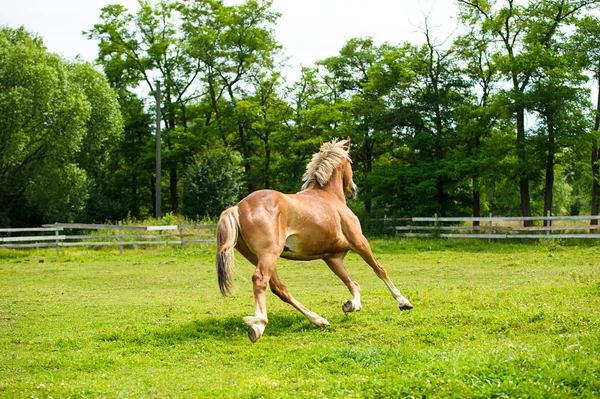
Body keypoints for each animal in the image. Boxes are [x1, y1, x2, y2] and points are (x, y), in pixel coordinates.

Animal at [216, 138, 412, 344]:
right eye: (350, 162)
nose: (353, 189)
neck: (331, 196)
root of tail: (237, 207)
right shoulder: (359, 242)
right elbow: (379, 269)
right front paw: (403, 302)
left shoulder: (332, 258)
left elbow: (352, 283)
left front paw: (352, 305)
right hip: (269, 254)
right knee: (260, 280)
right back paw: (258, 325)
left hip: (258, 257)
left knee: (280, 289)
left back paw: (318, 320)